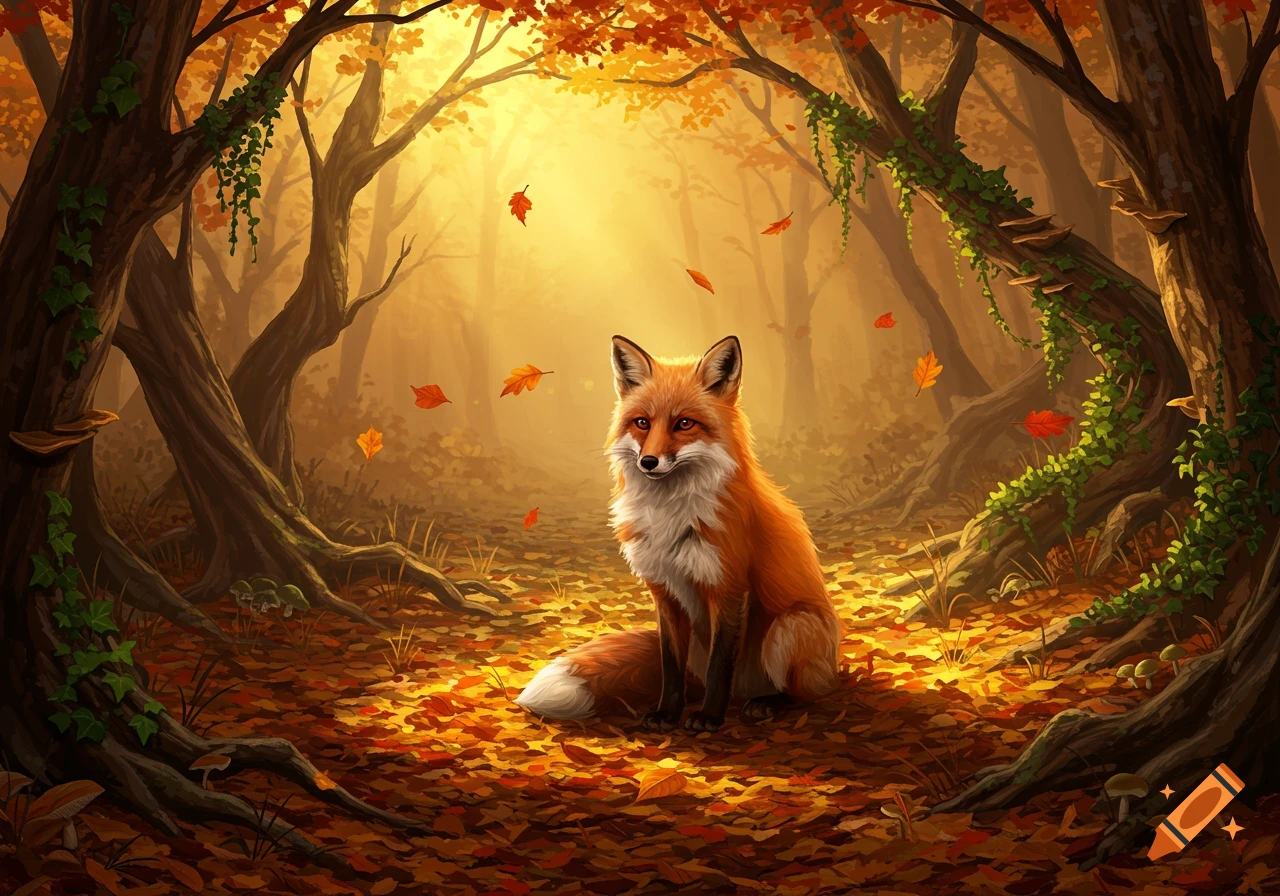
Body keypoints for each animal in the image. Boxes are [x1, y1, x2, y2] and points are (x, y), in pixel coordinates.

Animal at [515, 335, 841, 731]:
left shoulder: (729, 586)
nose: (648, 462)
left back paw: (767, 703)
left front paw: (709, 719)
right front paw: (666, 713)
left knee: (805, 692)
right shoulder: (664, 591)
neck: (670, 517)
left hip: (790, 626)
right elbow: (670, 665)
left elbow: (721, 664)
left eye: (685, 423)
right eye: (642, 422)